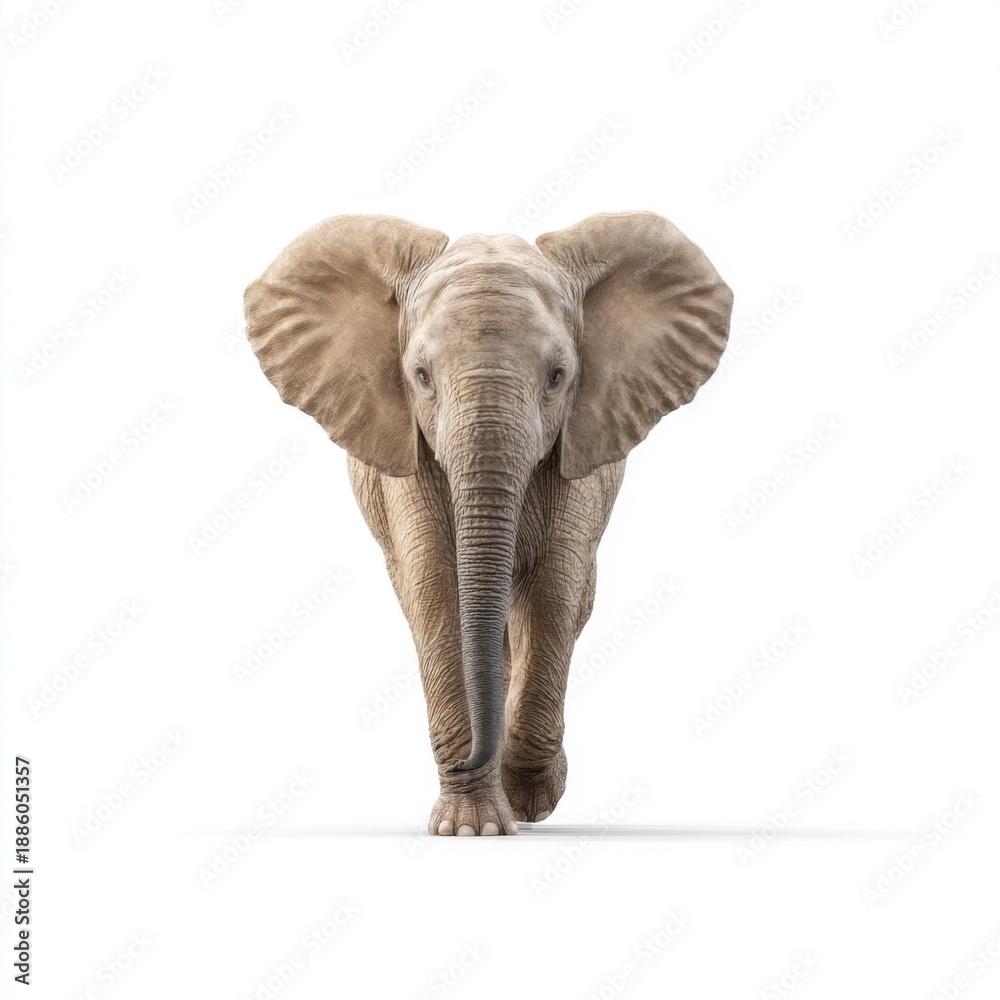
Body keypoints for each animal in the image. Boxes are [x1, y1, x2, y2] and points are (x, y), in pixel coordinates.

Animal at [243, 211, 732, 836]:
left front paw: (526, 797)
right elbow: (434, 586)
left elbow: (555, 589)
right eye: (420, 375)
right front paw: (472, 828)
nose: (474, 757)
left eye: (558, 376)